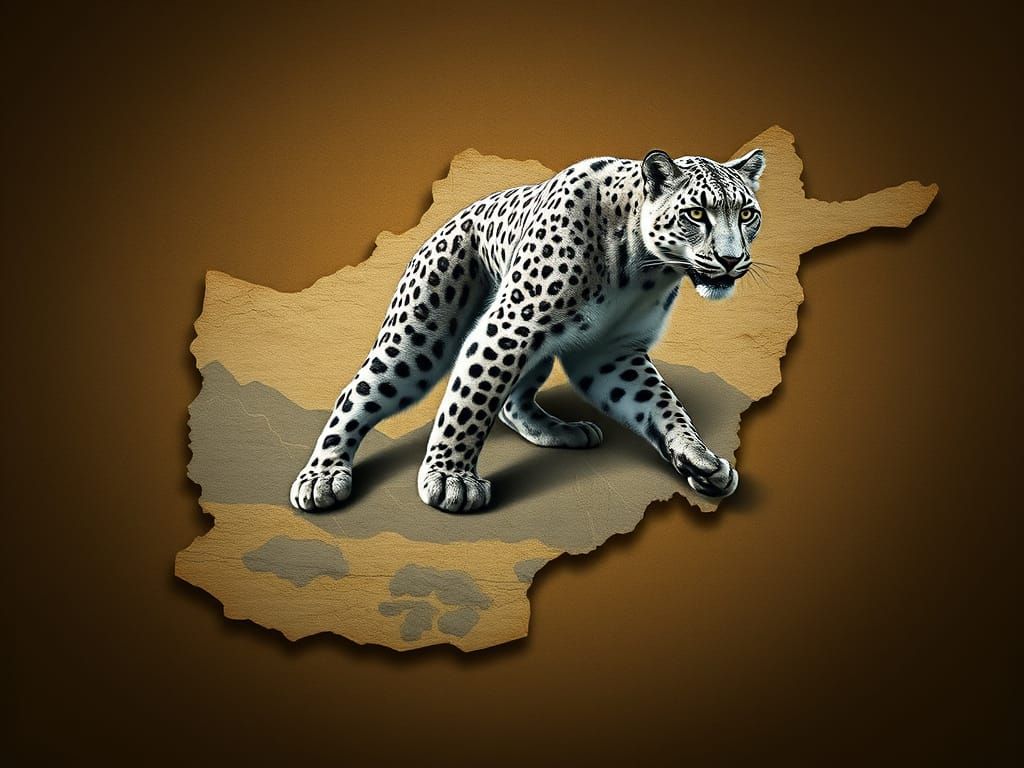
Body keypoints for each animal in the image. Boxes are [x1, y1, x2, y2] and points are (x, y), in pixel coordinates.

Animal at [290, 147, 766, 513]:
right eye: (695, 214)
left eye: (747, 214)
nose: (730, 260)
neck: (644, 268)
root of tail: (445, 223)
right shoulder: (508, 329)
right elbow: (468, 405)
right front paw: (451, 479)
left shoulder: (611, 353)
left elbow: (662, 404)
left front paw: (698, 458)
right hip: (419, 340)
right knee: (357, 393)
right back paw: (321, 476)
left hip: (534, 352)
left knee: (511, 403)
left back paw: (565, 431)